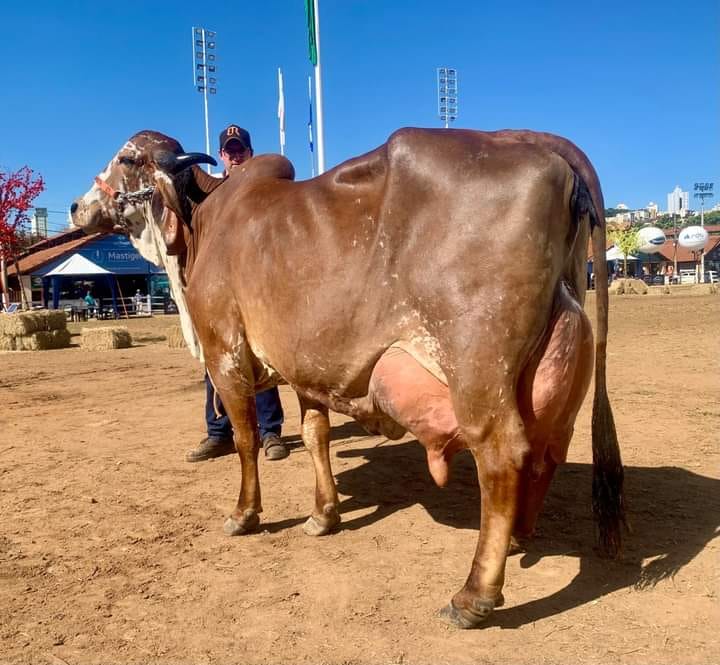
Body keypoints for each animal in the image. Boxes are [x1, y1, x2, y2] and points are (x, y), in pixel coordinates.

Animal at [71, 127, 624, 628]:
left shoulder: (225, 352)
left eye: (127, 157)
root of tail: (538, 143)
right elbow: (315, 435)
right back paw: (517, 536)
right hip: (559, 358)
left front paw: (245, 514)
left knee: (503, 455)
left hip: (478, 363)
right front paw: (323, 514)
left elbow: (247, 440)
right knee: (548, 450)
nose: (77, 206)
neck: (203, 220)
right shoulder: (308, 368)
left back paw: (474, 596)